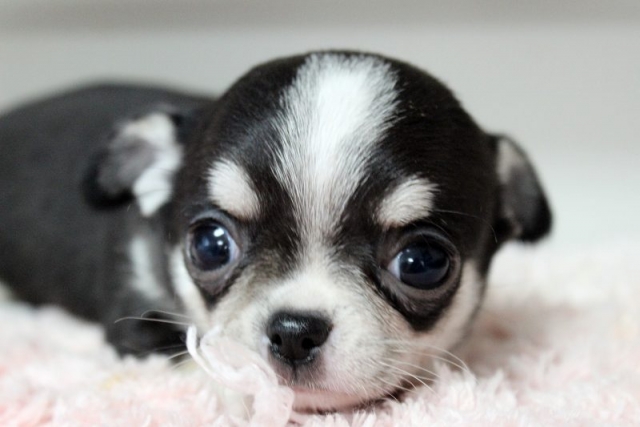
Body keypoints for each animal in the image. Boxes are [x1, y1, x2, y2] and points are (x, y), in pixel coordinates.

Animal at [0, 51, 551, 412]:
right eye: (210, 245)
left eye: (422, 262)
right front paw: (241, 394)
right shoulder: (137, 318)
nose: (293, 331)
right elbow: (197, 358)